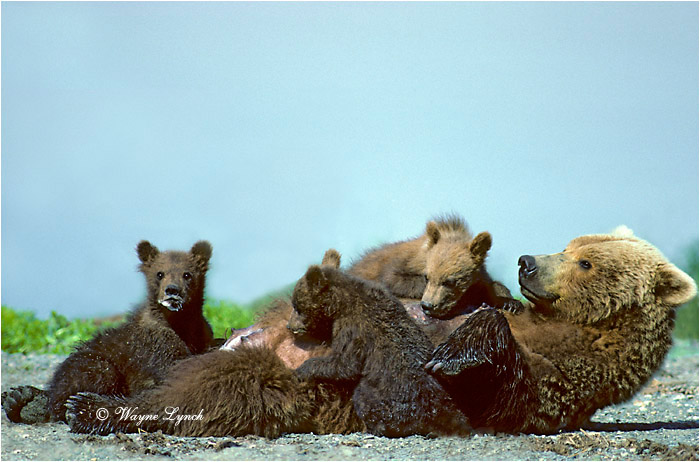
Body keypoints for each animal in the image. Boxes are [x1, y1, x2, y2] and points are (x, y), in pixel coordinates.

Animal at [2, 240, 215, 424]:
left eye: (187, 274)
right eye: (160, 273)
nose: (172, 291)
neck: (180, 322)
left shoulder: (200, 333)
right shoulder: (153, 343)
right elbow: (172, 366)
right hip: (92, 364)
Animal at [288, 249, 470, 437]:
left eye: (296, 307)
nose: (290, 326)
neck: (340, 301)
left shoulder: (352, 328)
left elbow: (345, 364)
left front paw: (302, 369)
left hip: (388, 396)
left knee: (364, 397)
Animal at [348, 215, 522, 322]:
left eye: (450, 281)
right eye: (427, 277)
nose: (427, 306)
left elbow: (492, 285)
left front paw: (510, 302)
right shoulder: (400, 264)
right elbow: (393, 278)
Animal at [424, 227, 698, 434]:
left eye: (586, 263)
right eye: (567, 248)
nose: (526, 262)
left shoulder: (563, 377)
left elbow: (497, 394)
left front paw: (450, 358)